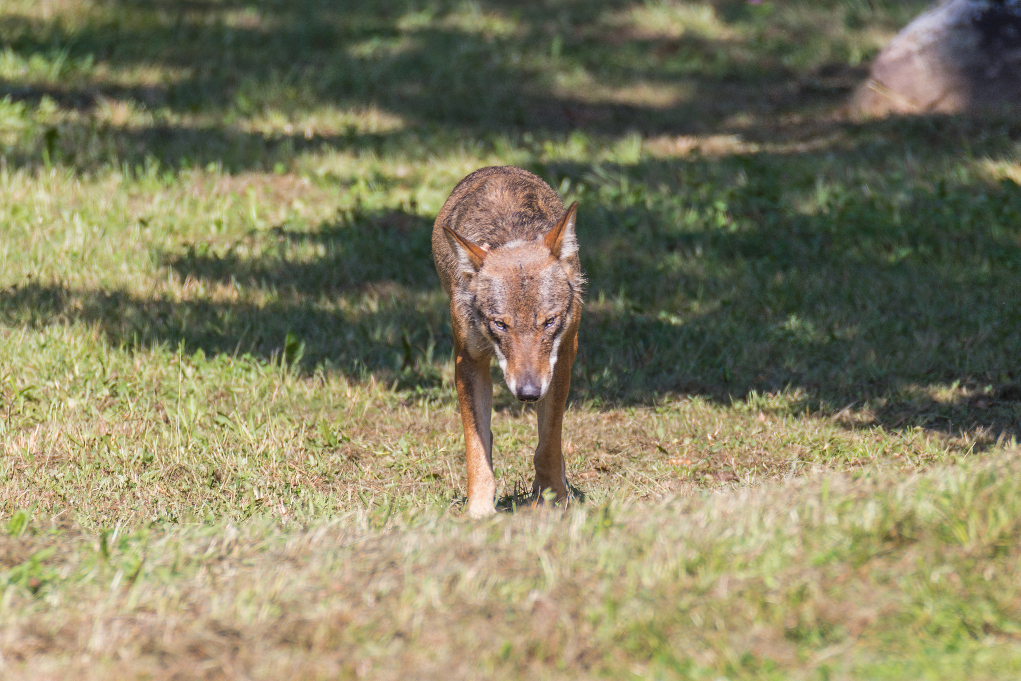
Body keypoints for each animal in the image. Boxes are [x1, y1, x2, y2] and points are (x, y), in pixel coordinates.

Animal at [432, 166, 584, 518]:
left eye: (549, 321)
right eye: (500, 324)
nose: (527, 393)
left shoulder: (561, 359)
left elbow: (548, 444)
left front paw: (552, 500)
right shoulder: (468, 361)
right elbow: (476, 447)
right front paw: (479, 511)